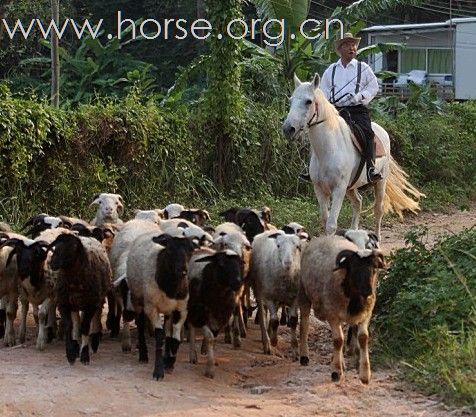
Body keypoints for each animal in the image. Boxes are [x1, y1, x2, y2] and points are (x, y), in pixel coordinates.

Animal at [282, 73, 424, 239]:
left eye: (308, 101)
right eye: (291, 100)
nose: (288, 129)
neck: (329, 150)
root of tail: (382, 131)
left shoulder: (339, 188)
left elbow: (331, 225)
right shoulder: (319, 189)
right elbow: (325, 220)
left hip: (379, 183)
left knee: (378, 210)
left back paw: (377, 238)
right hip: (351, 186)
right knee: (358, 202)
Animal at [300, 236, 384, 382]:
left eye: (374, 267)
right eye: (354, 268)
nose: (368, 291)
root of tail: (323, 237)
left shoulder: (366, 314)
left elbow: (363, 337)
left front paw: (365, 374)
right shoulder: (332, 315)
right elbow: (338, 340)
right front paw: (336, 372)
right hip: (305, 296)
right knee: (305, 324)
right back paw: (305, 356)